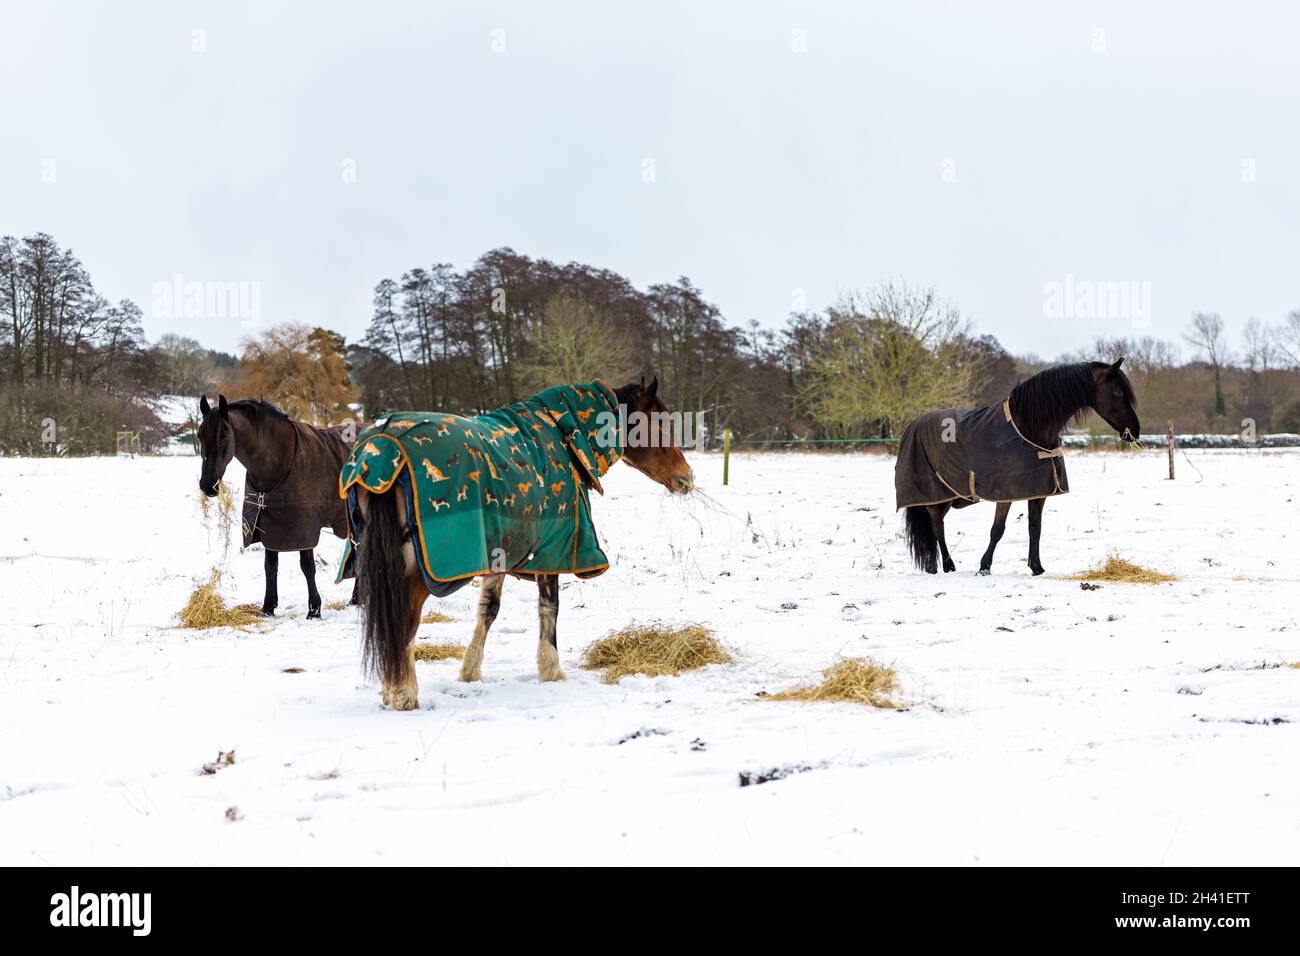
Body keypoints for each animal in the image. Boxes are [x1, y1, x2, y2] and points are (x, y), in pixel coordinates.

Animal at [195, 395, 356, 621]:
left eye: (225, 434)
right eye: (200, 435)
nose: (208, 485)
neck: (280, 459)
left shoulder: (304, 529)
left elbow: (307, 567)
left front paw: (314, 610)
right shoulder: (268, 525)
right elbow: (270, 566)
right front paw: (267, 608)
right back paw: (356, 599)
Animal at [340, 374, 696, 712]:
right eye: (661, 423)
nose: (687, 477)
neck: (562, 440)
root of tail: (381, 449)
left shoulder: (499, 547)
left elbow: (488, 610)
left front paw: (470, 671)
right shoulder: (553, 551)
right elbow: (549, 608)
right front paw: (551, 670)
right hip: (418, 572)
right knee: (404, 624)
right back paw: (403, 694)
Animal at [894, 356, 1138, 574]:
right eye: (1118, 393)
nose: (1134, 431)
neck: (1027, 427)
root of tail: (913, 424)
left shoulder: (1039, 491)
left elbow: (1035, 528)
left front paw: (1036, 567)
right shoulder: (1005, 492)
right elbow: (997, 529)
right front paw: (984, 567)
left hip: (947, 495)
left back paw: (935, 567)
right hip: (935, 494)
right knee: (937, 526)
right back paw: (948, 565)